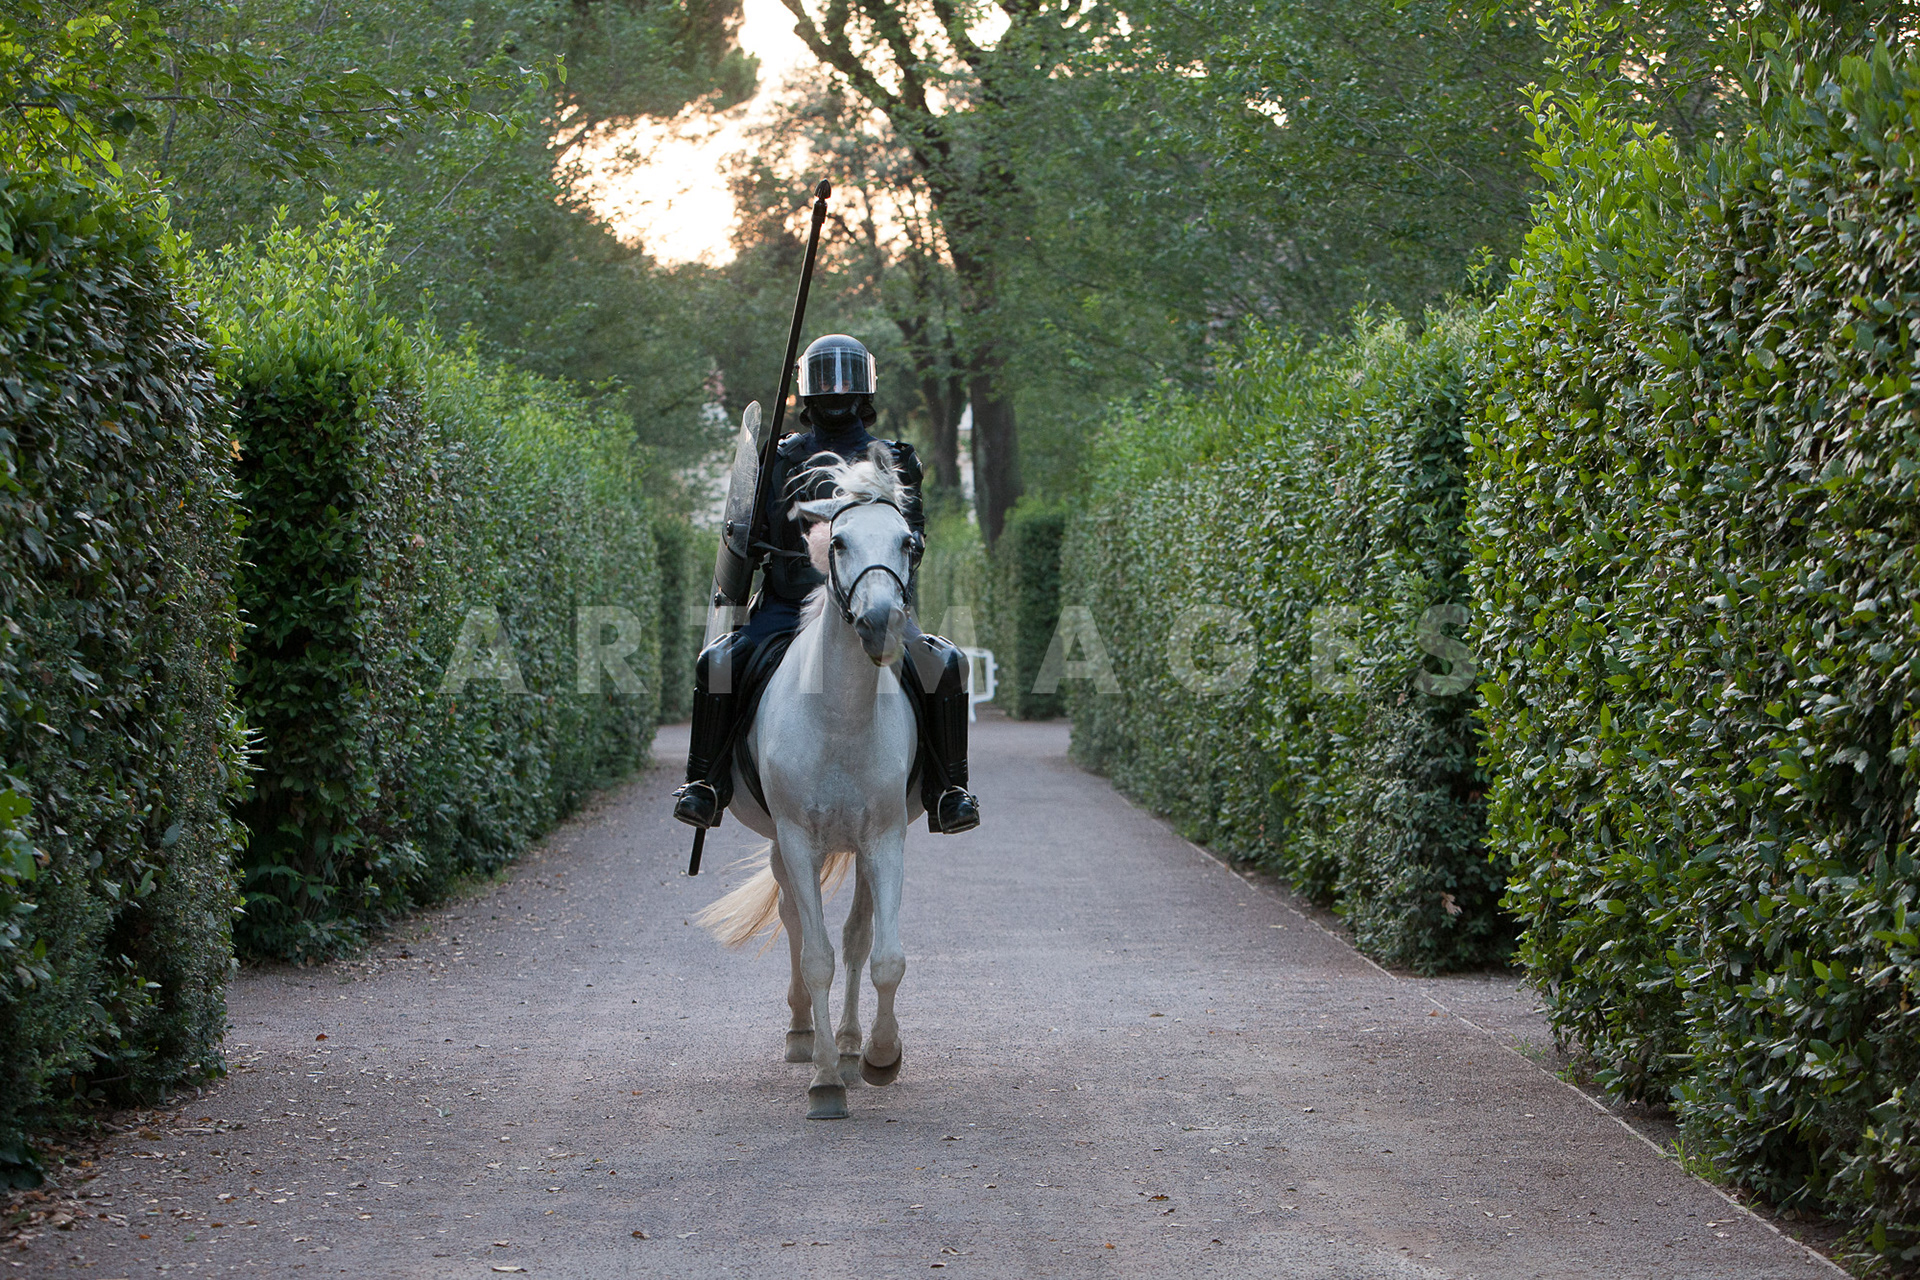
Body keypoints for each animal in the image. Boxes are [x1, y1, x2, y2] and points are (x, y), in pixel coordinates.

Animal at [693, 446, 924, 1120]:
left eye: (907, 541)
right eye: (838, 542)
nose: (881, 623)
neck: (840, 717)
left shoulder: (886, 840)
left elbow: (884, 956)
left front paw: (878, 1057)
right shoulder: (797, 839)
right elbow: (815, 955)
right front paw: (824, 1083)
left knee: (855, 938)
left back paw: (847, 1045)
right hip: (786, 844)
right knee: (798, 925)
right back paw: (806, 1037)